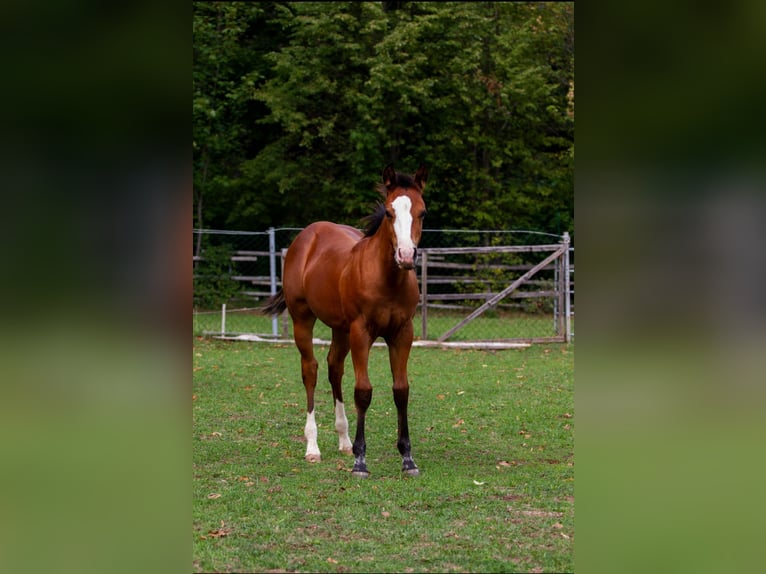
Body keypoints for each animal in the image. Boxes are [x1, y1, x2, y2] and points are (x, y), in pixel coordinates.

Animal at [261, 164, 427, 477]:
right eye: (389, 213)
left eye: (422, 212)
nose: (406, 255)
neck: (387, 279)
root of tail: (308, 235)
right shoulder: (361, 332)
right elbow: (363, 391)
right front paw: (361, 462)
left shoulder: (402, 332)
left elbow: (401, 390)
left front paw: (407, 459)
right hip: (303, 319)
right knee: (311, 370)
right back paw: (313, 447)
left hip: (340, 329)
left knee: (334, 368)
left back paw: (344, 440)